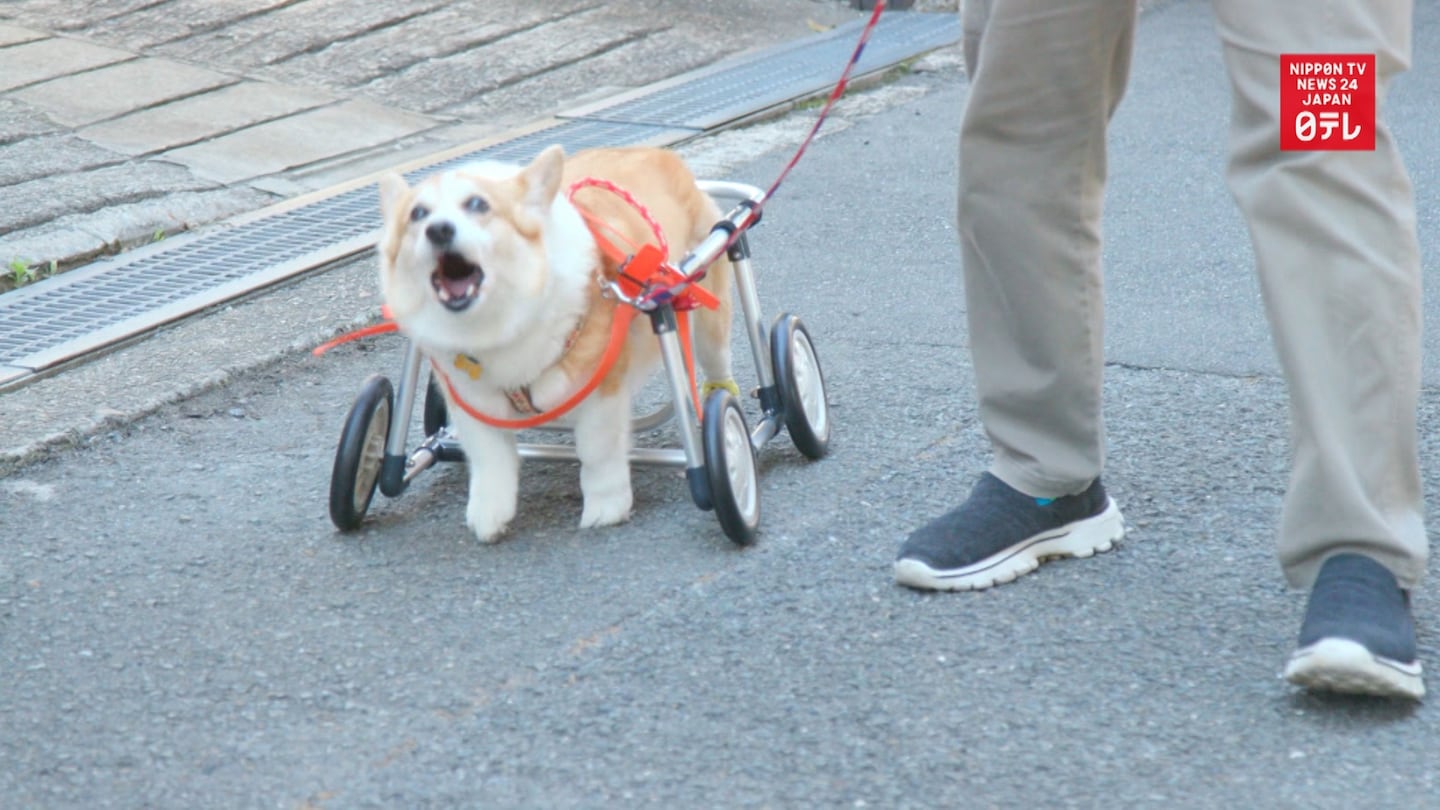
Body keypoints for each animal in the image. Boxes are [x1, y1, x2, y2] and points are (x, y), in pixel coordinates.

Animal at [377, 145, 737, 541]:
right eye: (417, 214)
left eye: (477, 204)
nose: (438, 230)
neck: (499, 325)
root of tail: (659, 153)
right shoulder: (472, 402)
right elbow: (490, 460)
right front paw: (489, 513)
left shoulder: (602, 392)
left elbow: (597, 451)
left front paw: (606, 506)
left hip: (707, 318)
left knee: (718, 368)